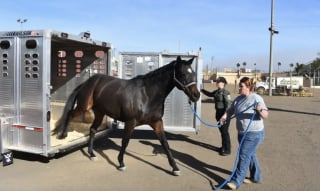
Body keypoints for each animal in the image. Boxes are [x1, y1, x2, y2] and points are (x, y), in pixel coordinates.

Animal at [53, 55, 200, 176]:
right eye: (182, 73)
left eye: (193, 73)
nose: (196, 95)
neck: (147, 95)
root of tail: (87, 82)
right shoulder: (130, 122)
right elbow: (125, 141)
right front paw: (121, 163)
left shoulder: (157, 122)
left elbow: (165, 143)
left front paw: (175, 168)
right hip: (84, 107)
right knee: (70, 114)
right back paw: (63, 135)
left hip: (100, 112)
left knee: (93, 129)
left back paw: (92, 154)